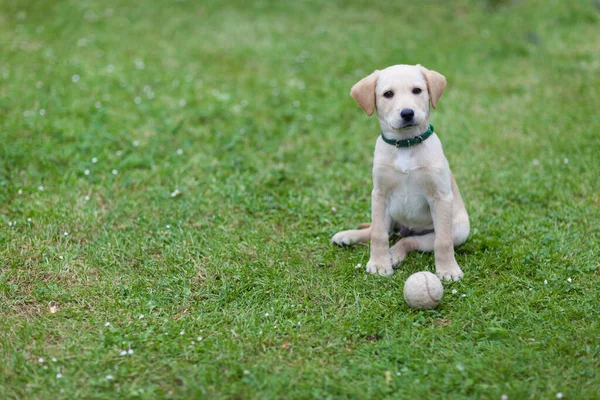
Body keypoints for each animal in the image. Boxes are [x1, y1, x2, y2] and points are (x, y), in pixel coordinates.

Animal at [332, 64, 468, 282]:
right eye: (388, 94)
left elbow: (443, 241)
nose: (407, 113)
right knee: (378, 231)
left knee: (410, 241)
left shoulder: (441, 198)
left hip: (457, 231)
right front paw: (379, 264)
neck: (406, 144)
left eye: (417, 90)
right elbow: (378, 235)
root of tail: (405, 229)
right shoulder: (379, 195)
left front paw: (448, 269)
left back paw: (394, 254)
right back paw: (348, 236)